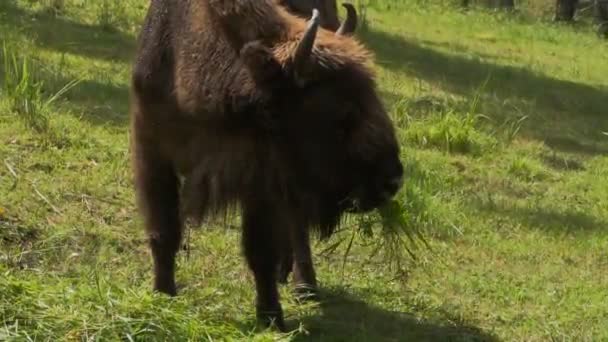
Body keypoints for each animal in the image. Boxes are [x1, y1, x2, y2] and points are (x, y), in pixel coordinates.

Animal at [129, 0, 404, 332]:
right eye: (341, 113)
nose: (391, 181)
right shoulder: (151, 149)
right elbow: (163, 230)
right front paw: (163, 293)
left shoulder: (262, 179)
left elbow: (260, 250)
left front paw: (271, 317)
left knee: (297, 229)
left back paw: (303, 285)